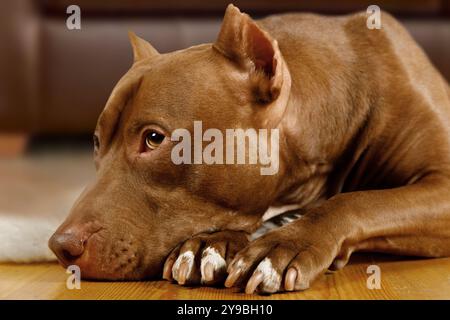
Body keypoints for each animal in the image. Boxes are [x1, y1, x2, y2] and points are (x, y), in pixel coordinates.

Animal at [47, 4, 448, 296]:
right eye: (96, 142)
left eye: (154, 138)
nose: (60, 245)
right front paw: (209, 245)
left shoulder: (441, 183)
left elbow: (357, 201)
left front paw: (282, 245)